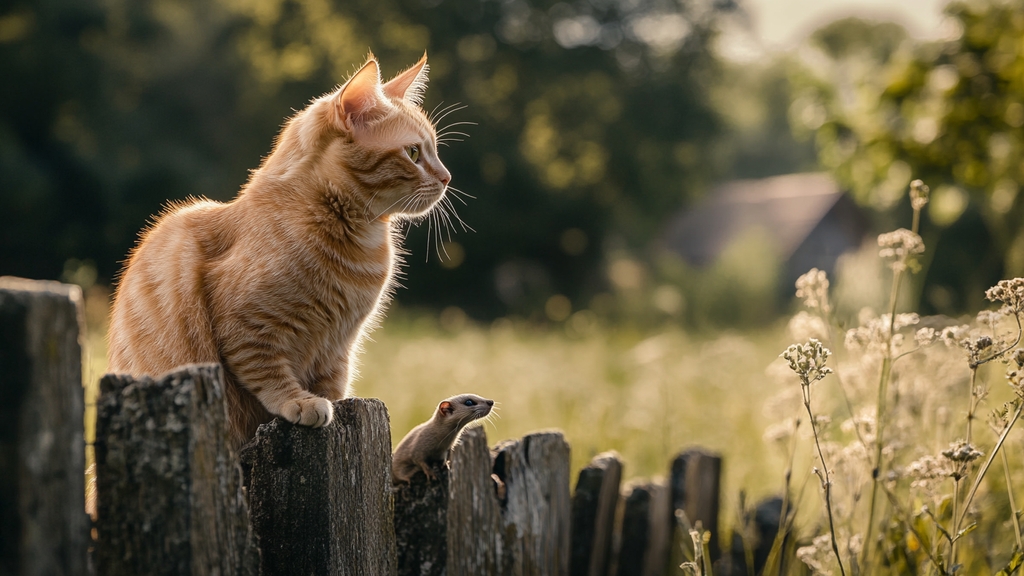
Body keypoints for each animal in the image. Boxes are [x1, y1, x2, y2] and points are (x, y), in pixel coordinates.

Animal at [107, 54, 452, 444]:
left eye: (434, 151)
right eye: (413, 153)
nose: (447, 177)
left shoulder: (339, 347)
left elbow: (333, 384)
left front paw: (330, 402)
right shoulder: (245, 327)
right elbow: (266, 370)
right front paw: (299, 401)